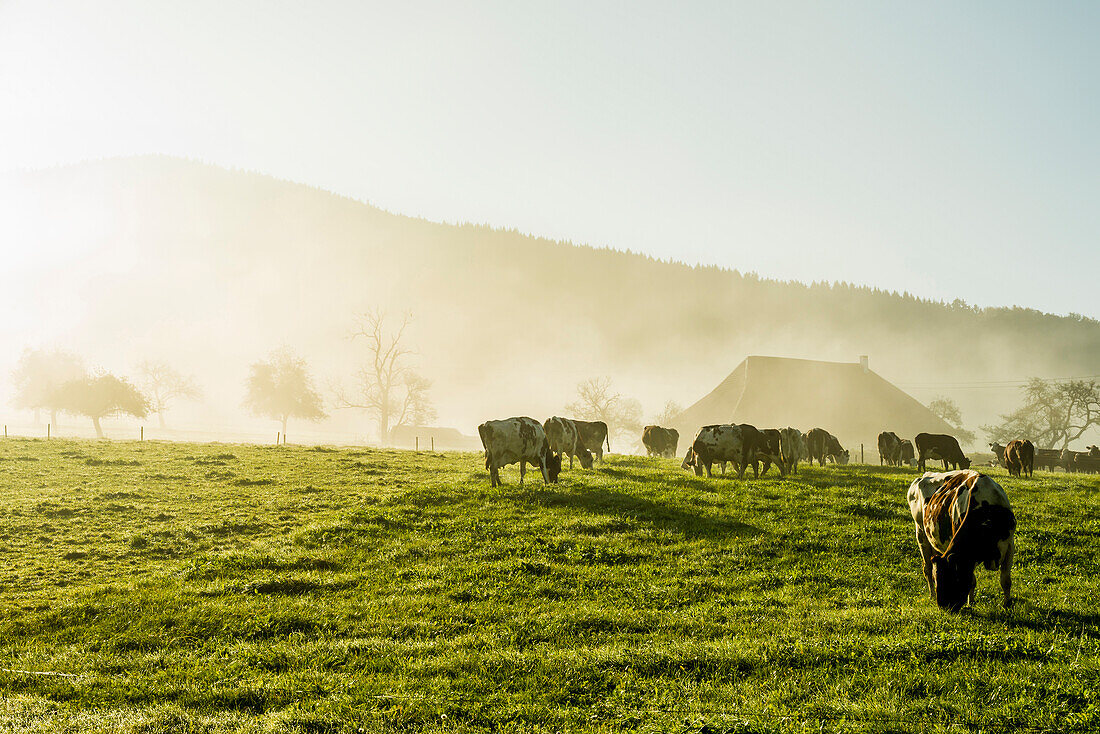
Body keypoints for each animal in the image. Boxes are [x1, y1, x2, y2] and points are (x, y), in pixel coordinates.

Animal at [906, 470, 1016, 616]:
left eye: (952, 578)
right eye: (938, 579)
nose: (943, 607)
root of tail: (924, 475)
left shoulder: (1009, 545)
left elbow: (1005, 580)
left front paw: (1007, 605)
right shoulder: (969, 555)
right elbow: (972, 580)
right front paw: (971, 603)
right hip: (920, 533)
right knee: (927, 568)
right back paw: (932, 595)